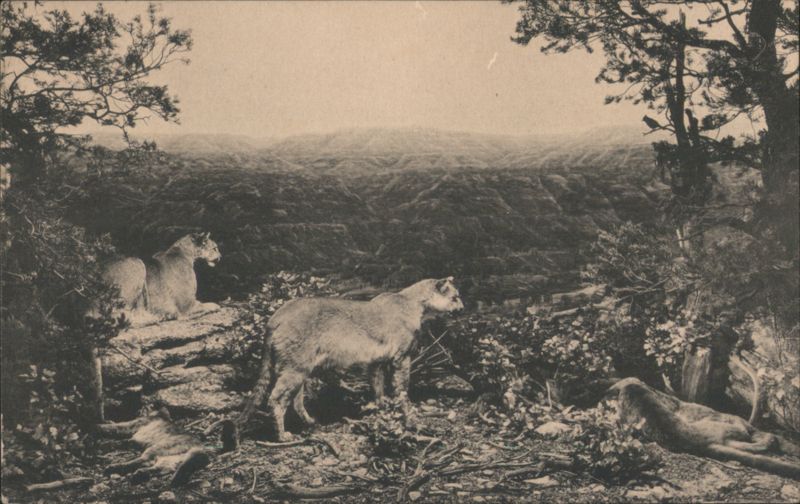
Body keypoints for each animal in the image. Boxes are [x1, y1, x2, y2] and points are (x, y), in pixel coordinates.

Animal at [223, 277, 464, 443]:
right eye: (455, 297)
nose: (462, 308)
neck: (414, 303)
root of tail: (276, 316)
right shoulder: (401, 359)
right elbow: (402, 390)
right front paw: (410, 418)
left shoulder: (376, 362)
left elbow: (378, 388)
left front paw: (382, 411)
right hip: (295, 369)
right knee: (276, 399)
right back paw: (283, 436)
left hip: (299, 369)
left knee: (296, 400)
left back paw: (311, 423)